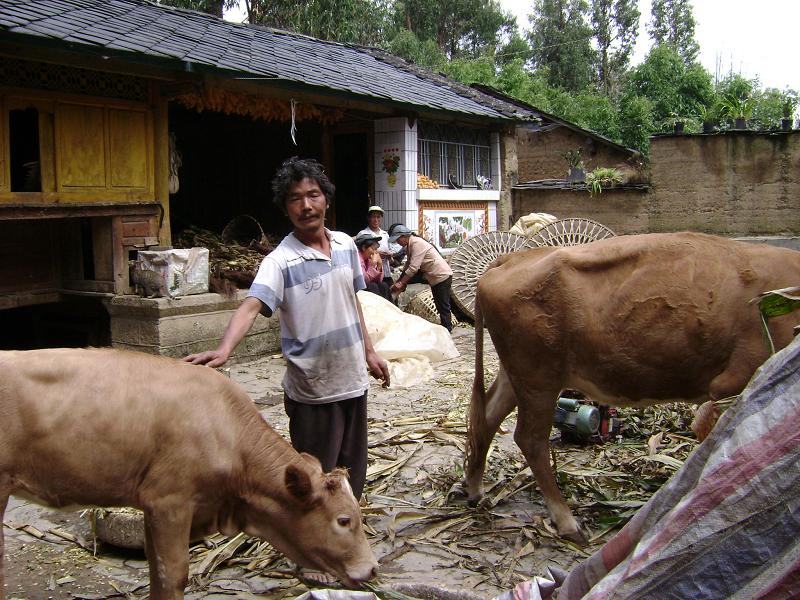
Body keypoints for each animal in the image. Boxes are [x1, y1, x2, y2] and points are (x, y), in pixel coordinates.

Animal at [0, 346, 378, 600]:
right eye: (344, 520)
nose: (372, 568)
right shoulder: (170, 501)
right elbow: (174, 574)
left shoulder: (154, 506)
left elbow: (156, 570)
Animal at [466, 233, 800, 544]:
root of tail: (513, 257)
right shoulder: (733, 382)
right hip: (538, 378)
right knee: (530, 439)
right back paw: (567, 521)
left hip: (519, 375)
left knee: (487, 418)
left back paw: (475, 489)